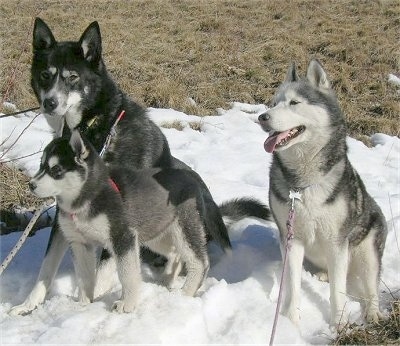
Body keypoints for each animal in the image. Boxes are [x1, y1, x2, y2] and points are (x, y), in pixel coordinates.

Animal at [28, 130, 141, 314]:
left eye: (56, 169)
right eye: (41, 165)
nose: (30, 185)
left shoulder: (122, 235)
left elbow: (127, 272)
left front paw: (127, 302)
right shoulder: (78, 241)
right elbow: (84, 276)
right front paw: (84, 304)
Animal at [260, 59, 388, 328]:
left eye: (294, 103)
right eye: (274, 102)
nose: (262, 117)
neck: (302, 183)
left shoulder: (336, 241)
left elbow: (338, 292)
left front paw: (338, 325)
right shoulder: (291, 239)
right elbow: (293, 285)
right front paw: (290, 321)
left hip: (368, 251)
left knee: (370, 287)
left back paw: (372, 313)